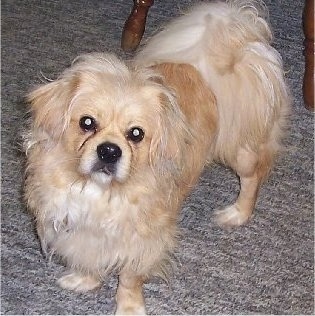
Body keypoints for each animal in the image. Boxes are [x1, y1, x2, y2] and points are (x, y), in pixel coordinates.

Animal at [24, 0, 292, 314]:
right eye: (87, 123)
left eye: (136, 134)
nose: (109, 150)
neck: (102, 193)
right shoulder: (77, 227)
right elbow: (89, 256)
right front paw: (85, 279)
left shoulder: (143, 239)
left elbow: (130, 279)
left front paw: (129, 308)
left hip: (241, 151)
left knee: (253, 178)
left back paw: (237, 213)